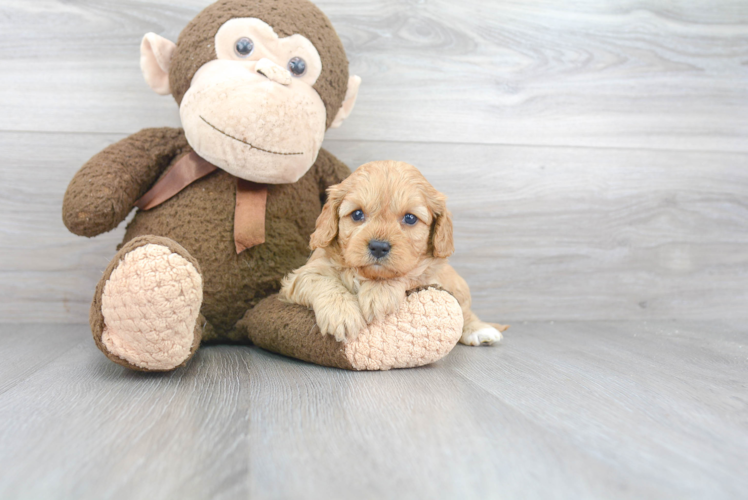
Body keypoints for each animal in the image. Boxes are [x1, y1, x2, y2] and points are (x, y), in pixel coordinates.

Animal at [280, 162, 508, 346]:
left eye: (410, 218)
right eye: (357, 214)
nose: (378, 247)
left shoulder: (427, 271)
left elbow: (409, 273)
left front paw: (378, 294)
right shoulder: (301, 275)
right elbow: (322, 281)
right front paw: (343, 315)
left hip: (458, 285)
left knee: (465, 311)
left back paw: (480, 330)